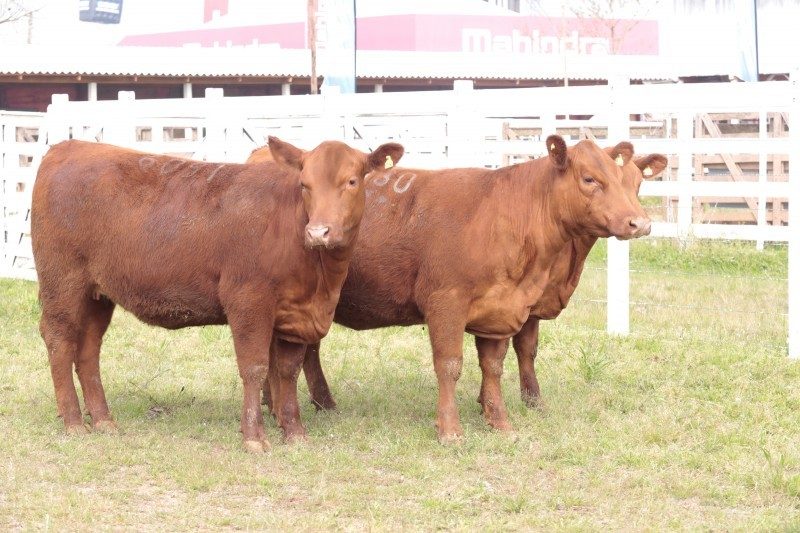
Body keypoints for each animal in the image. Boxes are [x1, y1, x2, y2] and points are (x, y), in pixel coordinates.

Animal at [29, 136, 406, 448]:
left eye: (352, 181)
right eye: (304, 184)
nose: (319, 232)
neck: (319, 281)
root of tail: (69, 146)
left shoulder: (297, 313)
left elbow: (287, 370)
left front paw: (294, 432)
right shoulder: (248, 300)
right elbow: (255, 367)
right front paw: (254, 437)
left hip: (98, 294)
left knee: (88, 349)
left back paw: (104, 420)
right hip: (63, 283)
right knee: (60, 340)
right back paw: (74, 422)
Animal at [253, 135, 652, 442]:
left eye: (632, 182)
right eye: (589, 179)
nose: (640, 222)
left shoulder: (501, 309)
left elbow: (494, 366)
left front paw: (499, 421)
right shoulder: (446, 302)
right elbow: (449, 365)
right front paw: (450, 429)